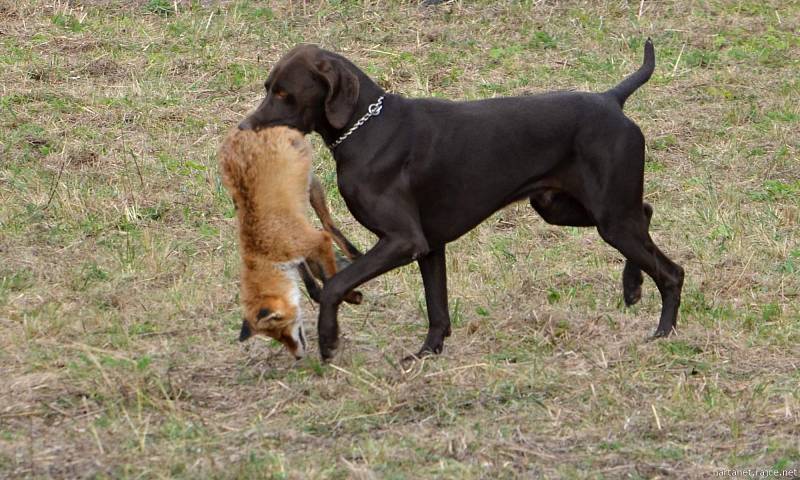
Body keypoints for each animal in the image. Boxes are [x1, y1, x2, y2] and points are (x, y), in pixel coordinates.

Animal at [217, 125, 358, 358]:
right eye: (276, 337)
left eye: (283, 330)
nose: (298, 356)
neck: (263, 250)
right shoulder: (296, 255)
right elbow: (312, 285)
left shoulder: (317, 242)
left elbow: (330, 278)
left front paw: (350, 295)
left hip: (310, 186)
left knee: (328, 225)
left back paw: (355, 254)